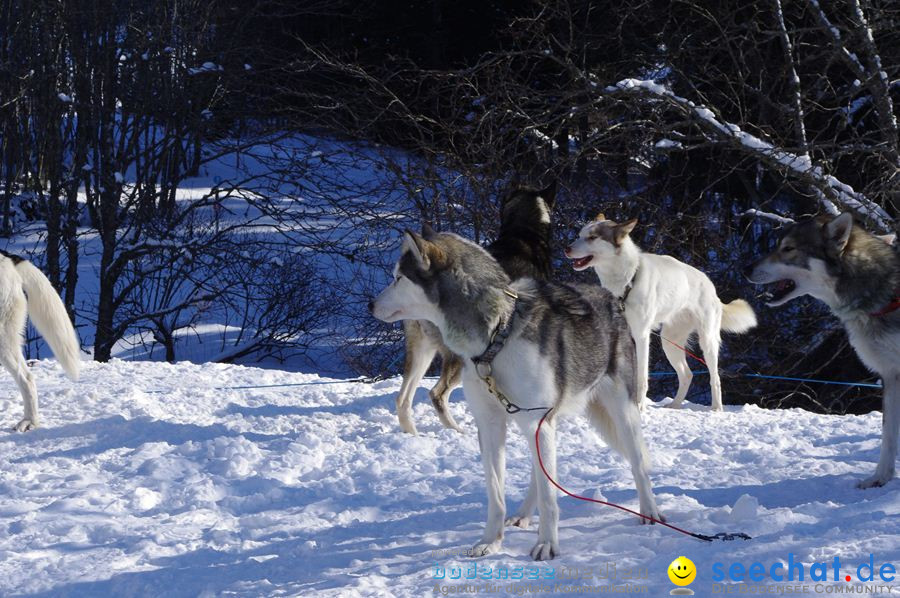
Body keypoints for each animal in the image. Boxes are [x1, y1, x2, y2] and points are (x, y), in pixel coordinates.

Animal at [368, 229, 660, 564]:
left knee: (638, 464)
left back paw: (650, 513)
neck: (498, 336)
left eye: (399, 277)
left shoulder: (535, 420)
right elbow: (497, 493)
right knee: (539, 472)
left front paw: (547, 544)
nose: (370, 304)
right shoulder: (492, 426)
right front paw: (491, 542)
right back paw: (522, 515)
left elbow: (549, 497)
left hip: (621, 411)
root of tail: (609, 298)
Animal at [396, 183, 556, 436]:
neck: (523, 232)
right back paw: (457, 431)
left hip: (422, 350)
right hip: (456, 358)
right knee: (437, 393)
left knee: (403, 399)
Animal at [568, 219, 756, 412]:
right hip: (670, 343)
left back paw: (716, 408)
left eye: (592, 237)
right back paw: (675, 405)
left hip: (707, 342)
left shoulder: (641, 336)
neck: (628, 280)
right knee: (687, 374)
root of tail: (711, 288)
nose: (567, 249)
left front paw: (639, 406)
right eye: (579, 235)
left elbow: (642, 377)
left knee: (715, 378)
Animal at [744, 213, 900, 490]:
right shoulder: (890, 376)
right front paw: (880, 478)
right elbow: (888, 435)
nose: (746, 269)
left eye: (788, 248)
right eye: (778, 245)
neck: (886, 295)